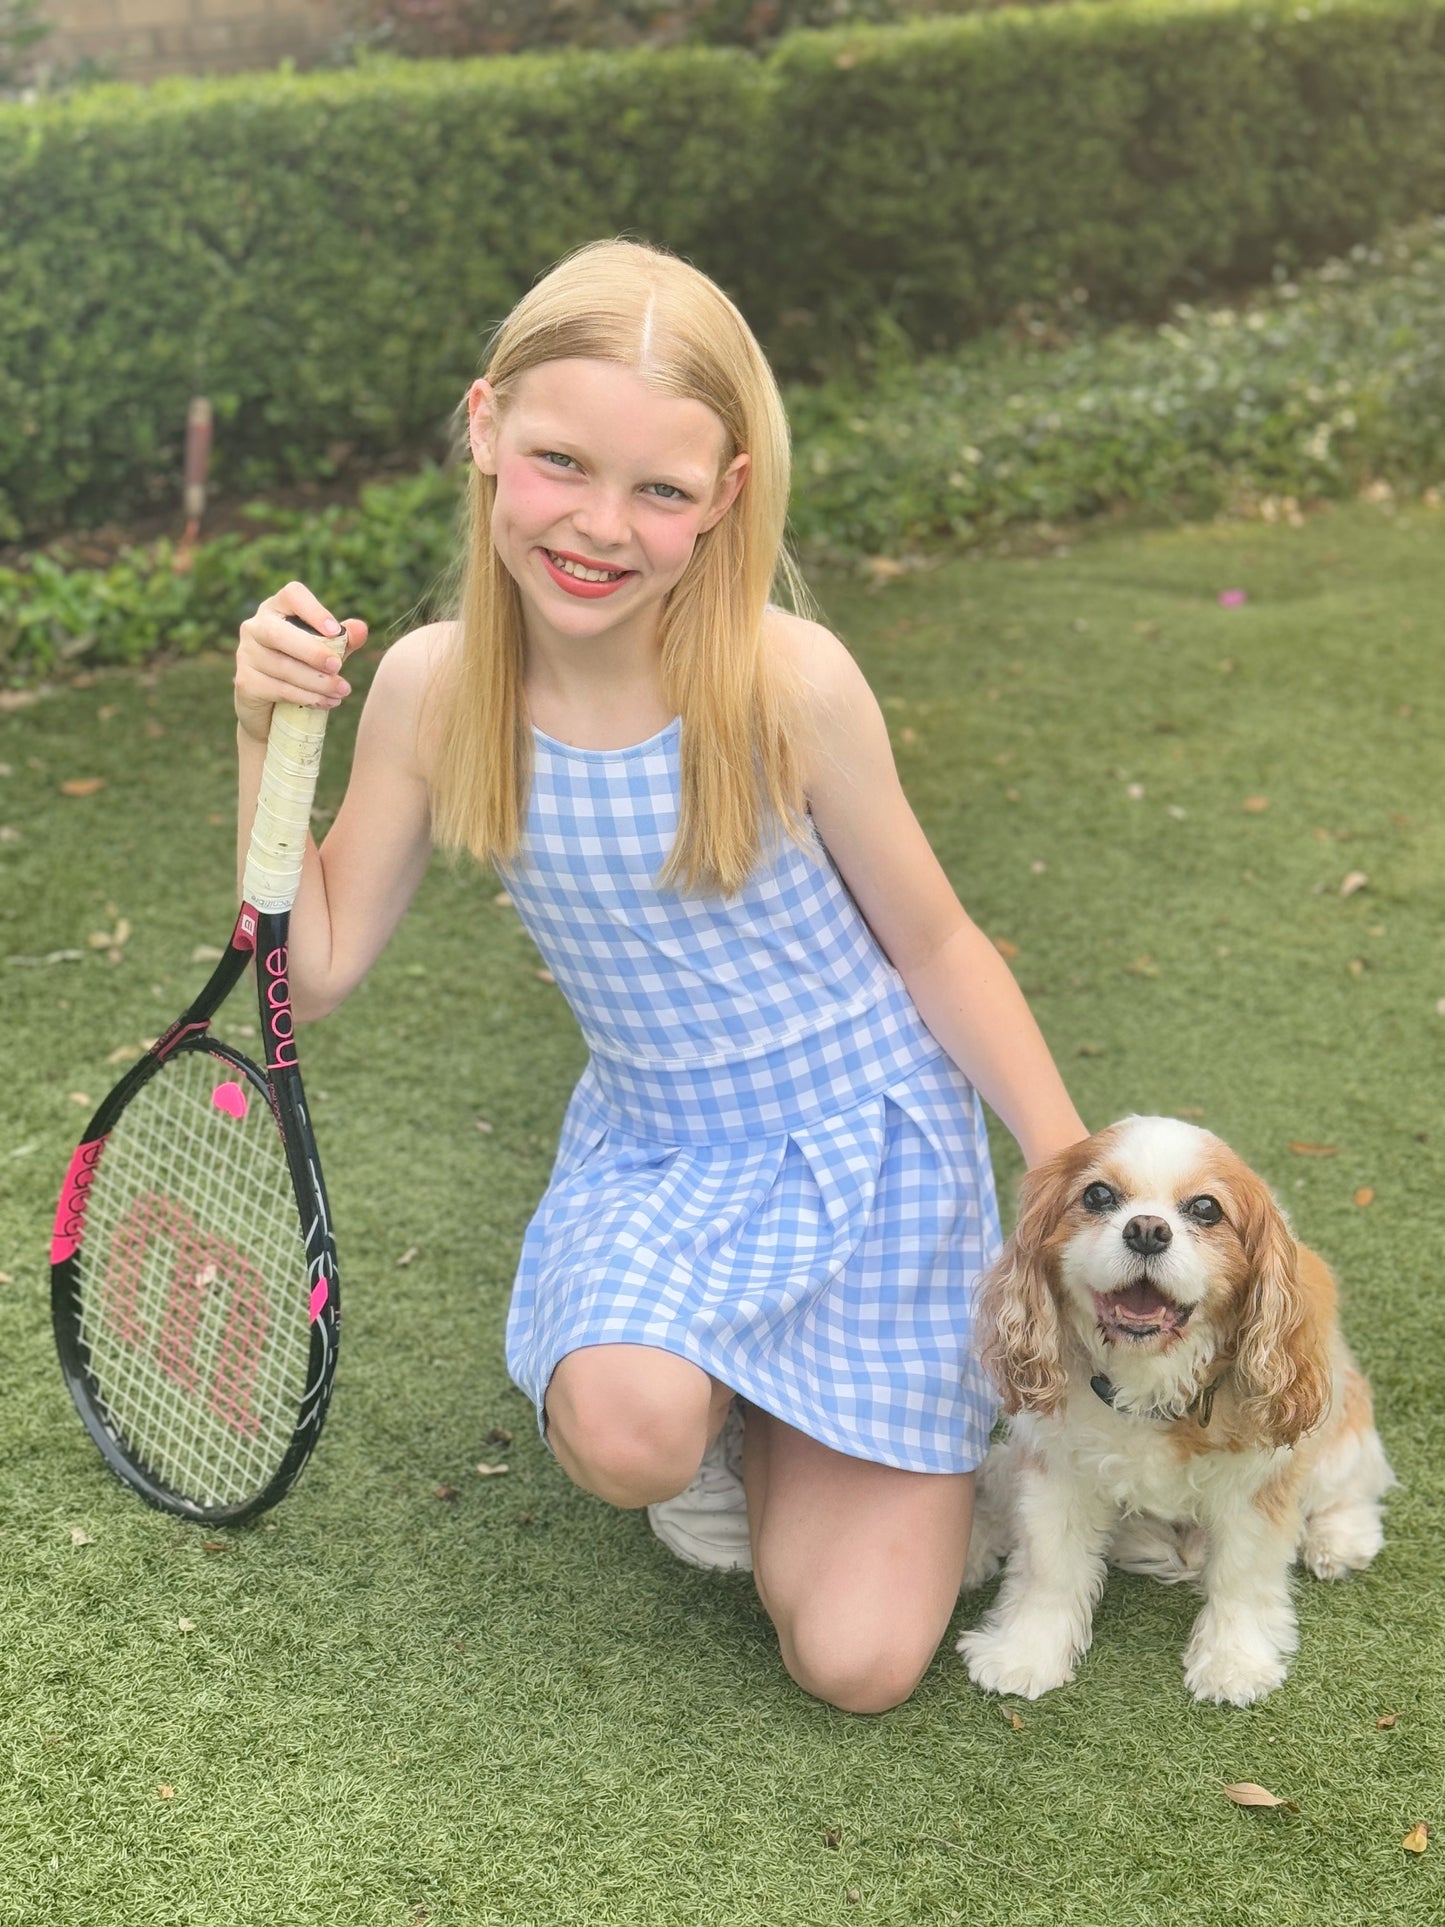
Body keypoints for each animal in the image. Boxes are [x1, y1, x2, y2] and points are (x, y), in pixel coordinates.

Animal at [955, 1125, 1394, 1711]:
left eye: (1206, 1208)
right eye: (1097, 1195)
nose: (1146, 1229)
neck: (1151, 1378)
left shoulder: (1257, 1486)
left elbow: (1241, 1577)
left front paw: (1234, 1663)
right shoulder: (1059, 1468)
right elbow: (1050, 1565)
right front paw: (1024, 1653)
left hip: (1338, 1422)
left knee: (1351, 1484)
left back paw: (1339, 1540)